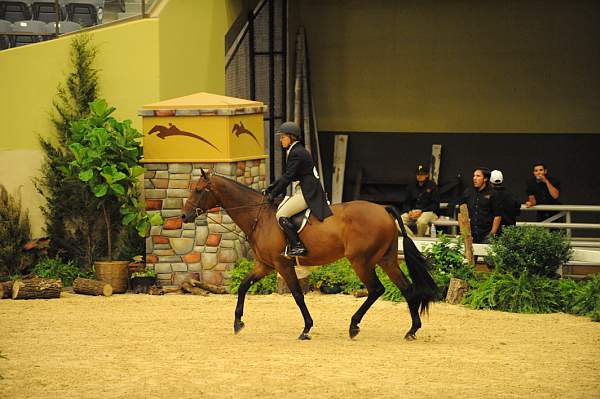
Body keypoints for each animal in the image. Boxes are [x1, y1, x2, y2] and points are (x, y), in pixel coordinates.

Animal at [180, 170, 438, 342]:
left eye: (199, 190)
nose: (183, 216)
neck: (259, 216)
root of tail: (383, 208)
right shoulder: (265, 265)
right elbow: (243, 286)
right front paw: (237, 322)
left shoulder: (282, 265)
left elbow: (297, 295)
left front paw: (306, 329)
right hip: (386, 259)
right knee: (407, 288)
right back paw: (412, 330)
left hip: (360, 261)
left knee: (376, 289)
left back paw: (354, 326)